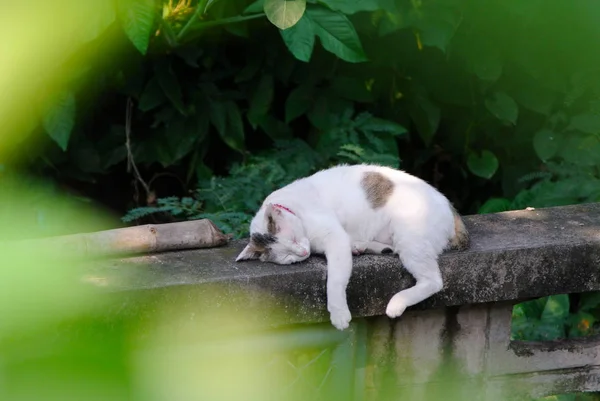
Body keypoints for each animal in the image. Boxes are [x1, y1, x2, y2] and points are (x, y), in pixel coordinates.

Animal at [234, 162, 468, 328]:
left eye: (292, 239)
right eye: (288, 259)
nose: (303, 252)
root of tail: (450, 208)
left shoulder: (335, 238)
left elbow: (335, 281)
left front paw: (338, 314)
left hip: (409, 238)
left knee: (433, 281)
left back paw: (396, 303)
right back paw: (366, 247)